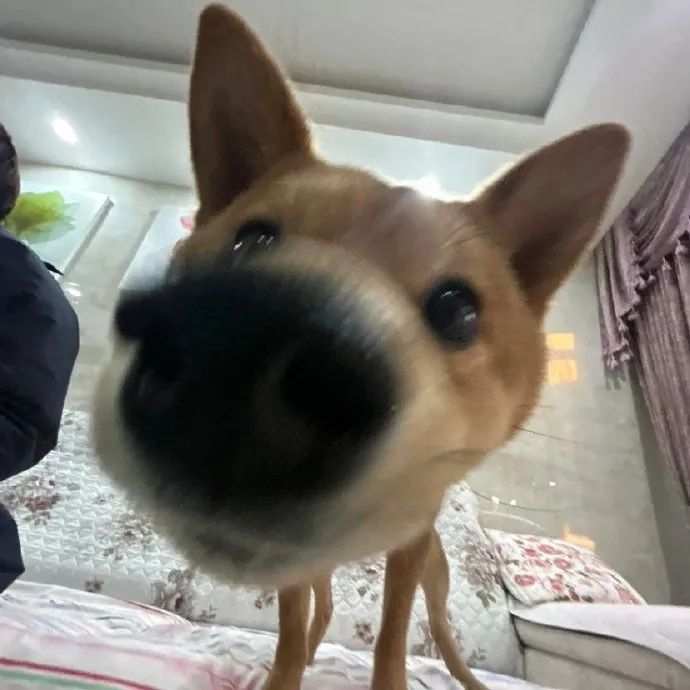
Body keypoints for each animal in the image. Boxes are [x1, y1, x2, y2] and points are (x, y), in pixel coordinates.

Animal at [92, 5, 629, 689]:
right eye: (250, 240)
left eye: (458, 309)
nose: (242, 352)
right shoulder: (293, 572)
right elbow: (292, 629)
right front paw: (287, 671)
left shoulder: (407, 554)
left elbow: (393, 639)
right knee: (318, 609)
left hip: (435, 581)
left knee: (441, 634)